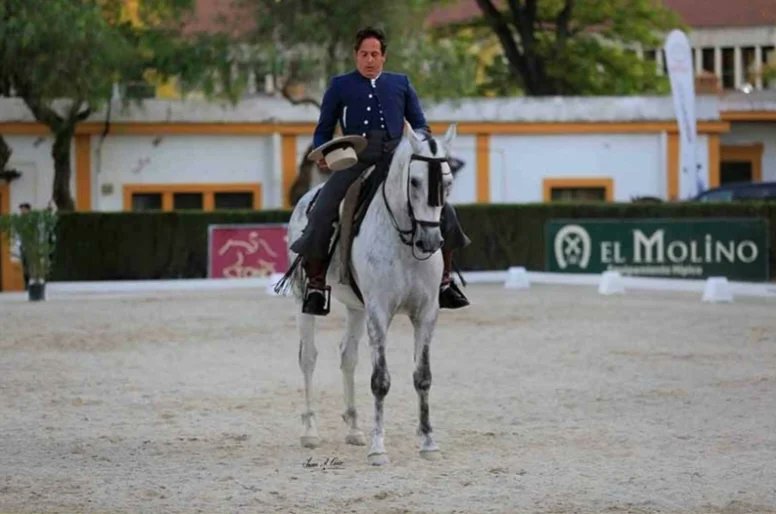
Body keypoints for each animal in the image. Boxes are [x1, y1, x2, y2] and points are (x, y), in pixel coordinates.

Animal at [284, 124, 458, 465]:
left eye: (447, 182)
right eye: (415, 181)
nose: (431, 241)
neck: (405, 240)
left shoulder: (426, 313)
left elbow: (423, 376)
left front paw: (428, 442)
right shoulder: (379, 311)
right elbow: (380, 380)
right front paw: (378, 449)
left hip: (356, 308)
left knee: (347, 356)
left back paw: (354, 429)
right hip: (304, 303)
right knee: (308, 357)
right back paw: (310, 432)